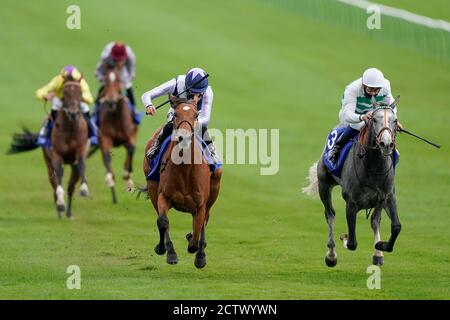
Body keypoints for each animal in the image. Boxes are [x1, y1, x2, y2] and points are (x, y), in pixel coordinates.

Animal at [9, 81, 89, 219]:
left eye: (80, 93)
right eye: (65, 93)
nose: (73, 114)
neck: (70, 130)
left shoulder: (80, 151)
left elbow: (81, 167)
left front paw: (84, 190)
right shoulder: (56, 155)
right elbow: (58, 176)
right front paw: (60, 204)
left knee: (71, 185)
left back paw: (68, 212)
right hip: (47, 160)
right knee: (54, 182)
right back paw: (59, 209)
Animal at [98, 69, 139, 202]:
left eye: (118, 80)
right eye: (105, 80)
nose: (111, 101)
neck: (115, 116)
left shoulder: (130, 136)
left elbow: (131, 149)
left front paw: (127, 177)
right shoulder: (105, 137)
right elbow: (107, 156)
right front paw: (110, 179)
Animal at [143, 100, 222, 268]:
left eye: (196, 115)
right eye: (175, 114)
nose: (183, 137)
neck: (185, 169)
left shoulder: (201, 204)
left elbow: (198, 228)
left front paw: (199, 254)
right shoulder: (163, 196)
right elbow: (163, 221)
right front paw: (167, 251)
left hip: (213, 192)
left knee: (205, 218)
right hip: (152, 186)